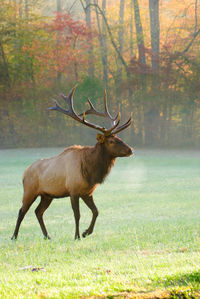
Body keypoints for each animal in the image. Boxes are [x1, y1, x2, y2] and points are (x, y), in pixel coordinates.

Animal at [10, 86, 133, 241]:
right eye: (111, 141)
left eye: (119, 137)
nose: (130, 149)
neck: (90, 171)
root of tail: (24, 173)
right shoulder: (73, 191)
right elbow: (77, 215)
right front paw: (77, 236)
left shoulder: (87, 192)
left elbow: (96, 211)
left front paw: (86, 232)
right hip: (29, 190)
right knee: (22, 211)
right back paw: (14, 236)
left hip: (47, 195)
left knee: (38, 211)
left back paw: (47, 236)